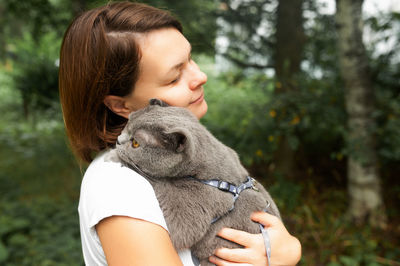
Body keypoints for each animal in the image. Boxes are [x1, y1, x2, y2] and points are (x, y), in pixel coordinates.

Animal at [107, 98, 282, 264]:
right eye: (126, 126)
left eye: (135, 143)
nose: (117, 140)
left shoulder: (189, 214)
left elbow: (156, 180)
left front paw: (114, 156)